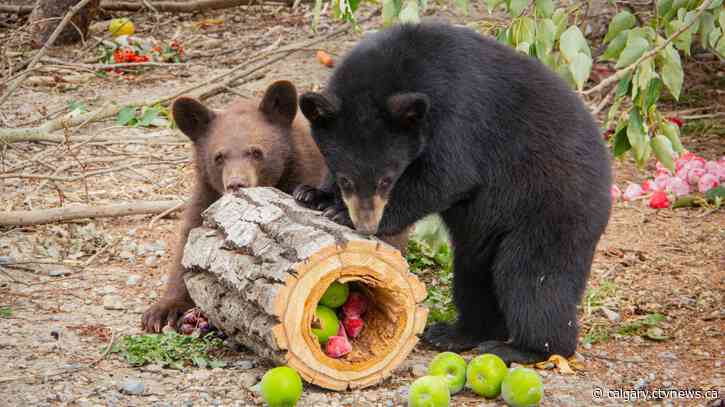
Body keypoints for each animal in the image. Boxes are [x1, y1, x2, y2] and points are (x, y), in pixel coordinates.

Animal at [142, 81, 327, 332]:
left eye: (257, 152)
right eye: (218, 157)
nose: (236, 183)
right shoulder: (207, 196)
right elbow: (186, 245)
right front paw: (163, 310)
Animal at [294, 22, 612, 364]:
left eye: (387, 180)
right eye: (346, 179)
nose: (366, 224)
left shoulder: (457, 116)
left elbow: (447, 176)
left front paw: (339, 212)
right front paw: (313, 194)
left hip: (554, 208)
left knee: (530, 277)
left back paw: (525, 347)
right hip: (491, 234)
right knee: (474, 273)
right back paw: (455, 333)